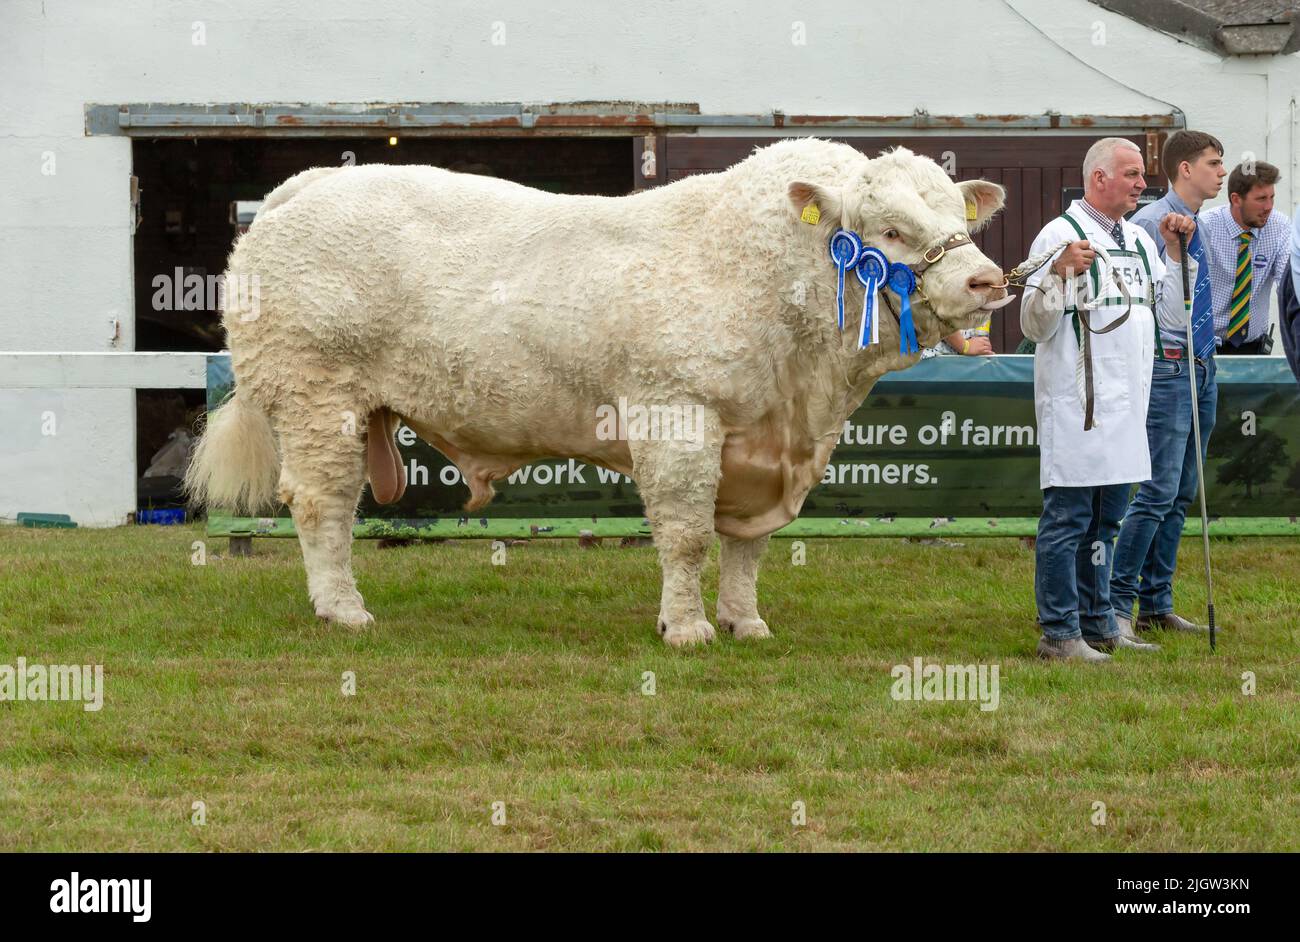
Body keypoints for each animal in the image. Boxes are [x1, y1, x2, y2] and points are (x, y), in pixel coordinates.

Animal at [188, 139, 1008, 647]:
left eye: (954, 215)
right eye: (890, 230)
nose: (987, 281)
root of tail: (309, 186)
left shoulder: (766, 446)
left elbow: (747, 547)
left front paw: (745, 621)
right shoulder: (677, 416)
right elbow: (686, 534)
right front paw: (686, 628)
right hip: (316, 396)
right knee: (321, 503)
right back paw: (343, 609)